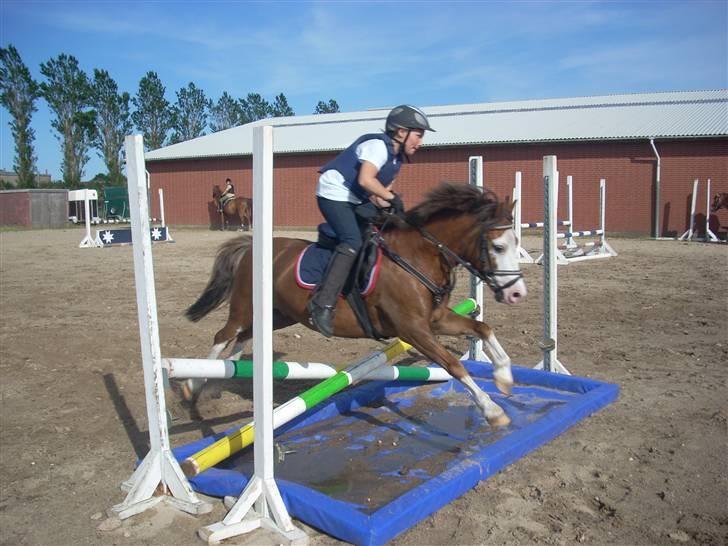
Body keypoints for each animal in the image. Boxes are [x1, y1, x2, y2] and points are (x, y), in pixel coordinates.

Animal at [186, 183, 528, 424]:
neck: (420, 256)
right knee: (224, 334)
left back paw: (219, 379)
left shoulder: (437, 319)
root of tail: (250, 247)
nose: (517, 294)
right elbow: (453, 364)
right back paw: (194, 384)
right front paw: (493, 410)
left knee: (243, 337)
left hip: (279, 315)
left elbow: (483, 327)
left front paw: (504, 377)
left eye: (517, 245)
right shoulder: (414, 330)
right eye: (498, 247)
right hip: (246, 306)